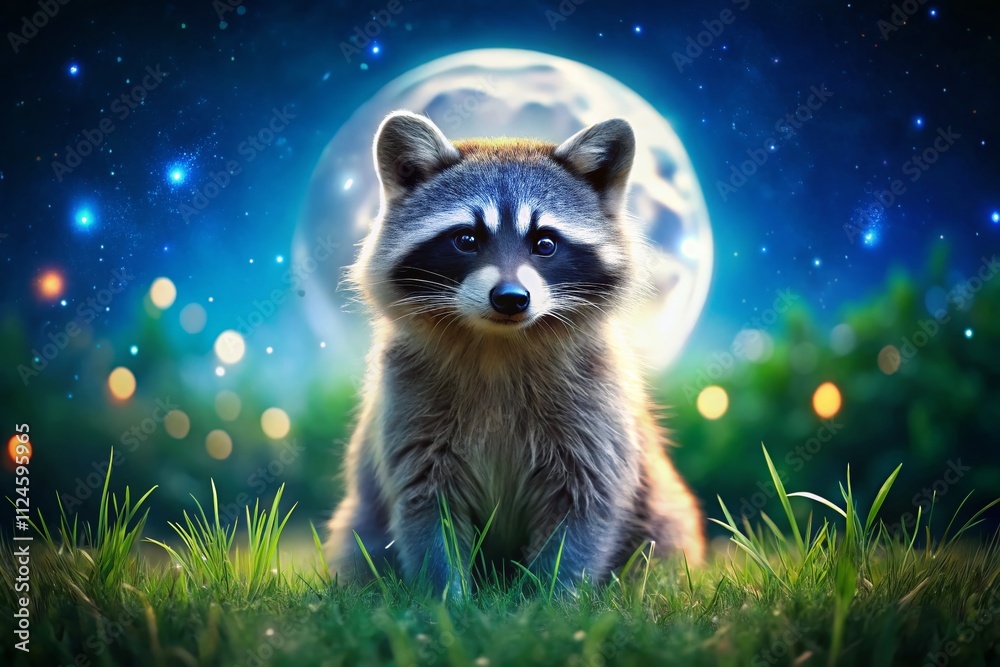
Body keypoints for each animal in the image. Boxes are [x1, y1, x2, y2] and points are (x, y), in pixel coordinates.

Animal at [325, 110, 705, 594]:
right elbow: (426, 513)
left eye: (545, 243)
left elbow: (586, 510)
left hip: (660, 507)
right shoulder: (409, 415)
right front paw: (446, 599)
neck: (498, 344)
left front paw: (550, 599)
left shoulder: (596, 416)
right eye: (466, 239)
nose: (510, 298)